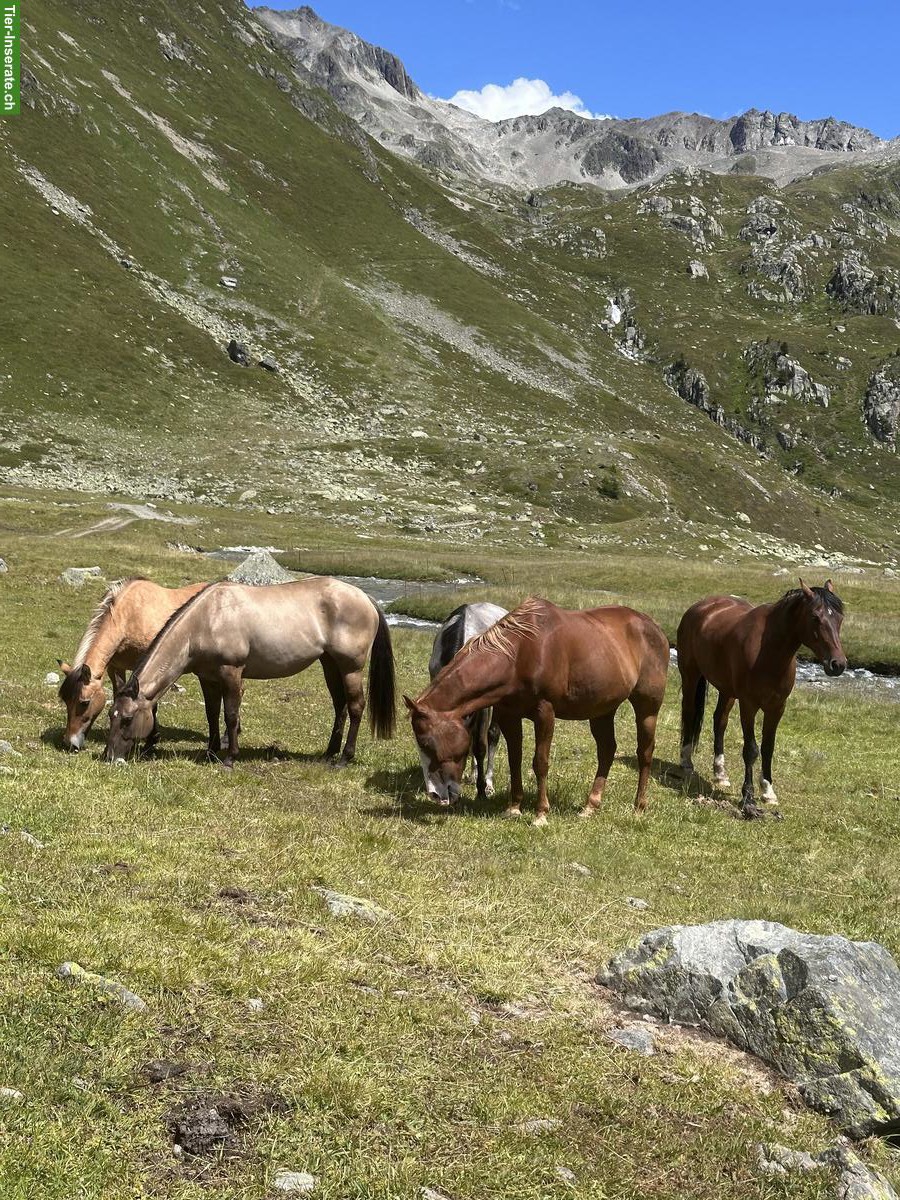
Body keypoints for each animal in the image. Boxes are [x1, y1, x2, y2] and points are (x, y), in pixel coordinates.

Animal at [57, 577, 207, 753]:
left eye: (84, 702)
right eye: (65, 700)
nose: (69, 743)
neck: (129, 617)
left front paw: (151, 741)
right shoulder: (115, 668)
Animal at [104, 577, 396, 767]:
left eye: (127, 719)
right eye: (111, 716)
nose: (109, 757)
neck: (206, 620)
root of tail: (365, 598)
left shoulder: (231, 672)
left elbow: (231, 714)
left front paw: (230, 757)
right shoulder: (207, 678)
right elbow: (211, 714)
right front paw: (211, 752)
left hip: (351, 668)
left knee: (356, 707)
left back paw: (345, 758)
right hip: (330, 664)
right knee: (340, 706)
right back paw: (328, 754)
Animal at [676, 579, 847, 819]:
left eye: (840, 618)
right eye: (815, 617)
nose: (837, 664)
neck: (769, 652)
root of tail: (700, 607)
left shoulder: (777, 708)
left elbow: (768, 747)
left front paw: (768, 791)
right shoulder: (749, 705)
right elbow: (751, 750)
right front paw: (748, 796)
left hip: (727, 691)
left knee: (719, 721)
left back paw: (720, 773)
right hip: (691, 676)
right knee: (690, 712)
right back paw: (686, 760)